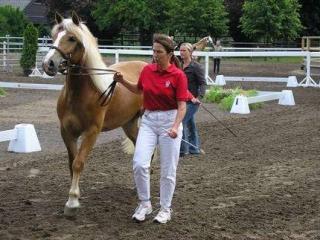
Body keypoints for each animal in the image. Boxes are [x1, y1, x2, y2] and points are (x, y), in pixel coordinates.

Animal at [42, 12, 146, 217]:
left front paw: (72, 202)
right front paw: (75, 195)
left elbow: (78, 163)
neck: (80, 93)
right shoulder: (66, 132)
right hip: (129, 124)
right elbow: (71, 163)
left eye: (72, 38)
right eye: (53, 35)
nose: (48, 64)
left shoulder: (92, 131)